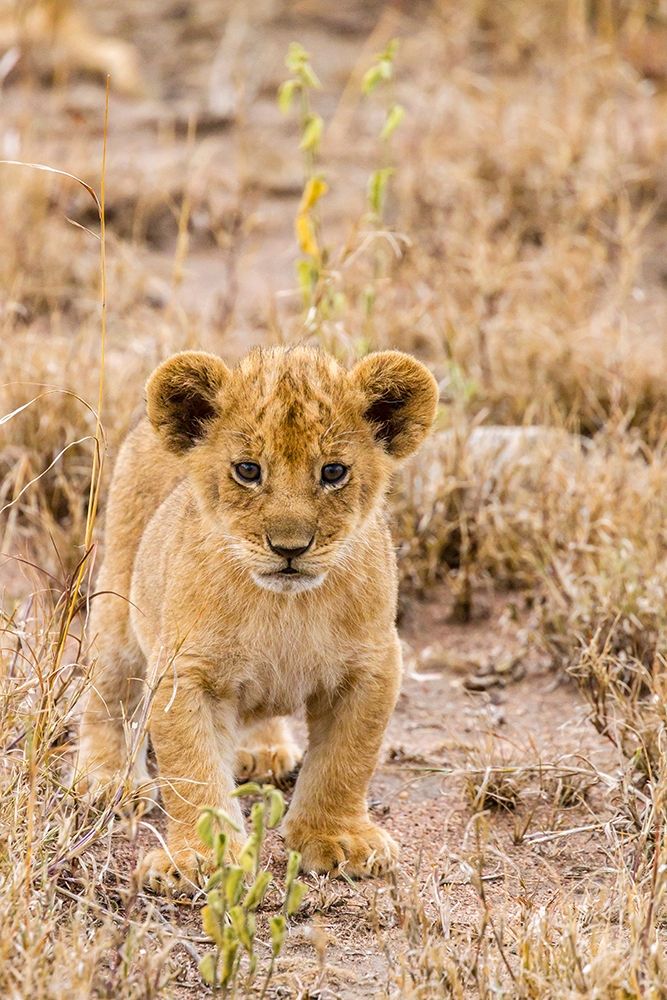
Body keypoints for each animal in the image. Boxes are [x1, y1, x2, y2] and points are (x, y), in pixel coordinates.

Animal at [77, 344, 438, 892]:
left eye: (333, 472)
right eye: (248, 470)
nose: (289, 547)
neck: (283, 610)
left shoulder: (373, 666)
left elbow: (347, 759)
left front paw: (338, 838)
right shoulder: (186, 671)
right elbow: (192, 769)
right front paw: (200, 858)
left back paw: (263, 749)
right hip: (119, 606)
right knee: (110, 695)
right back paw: (108, 780)